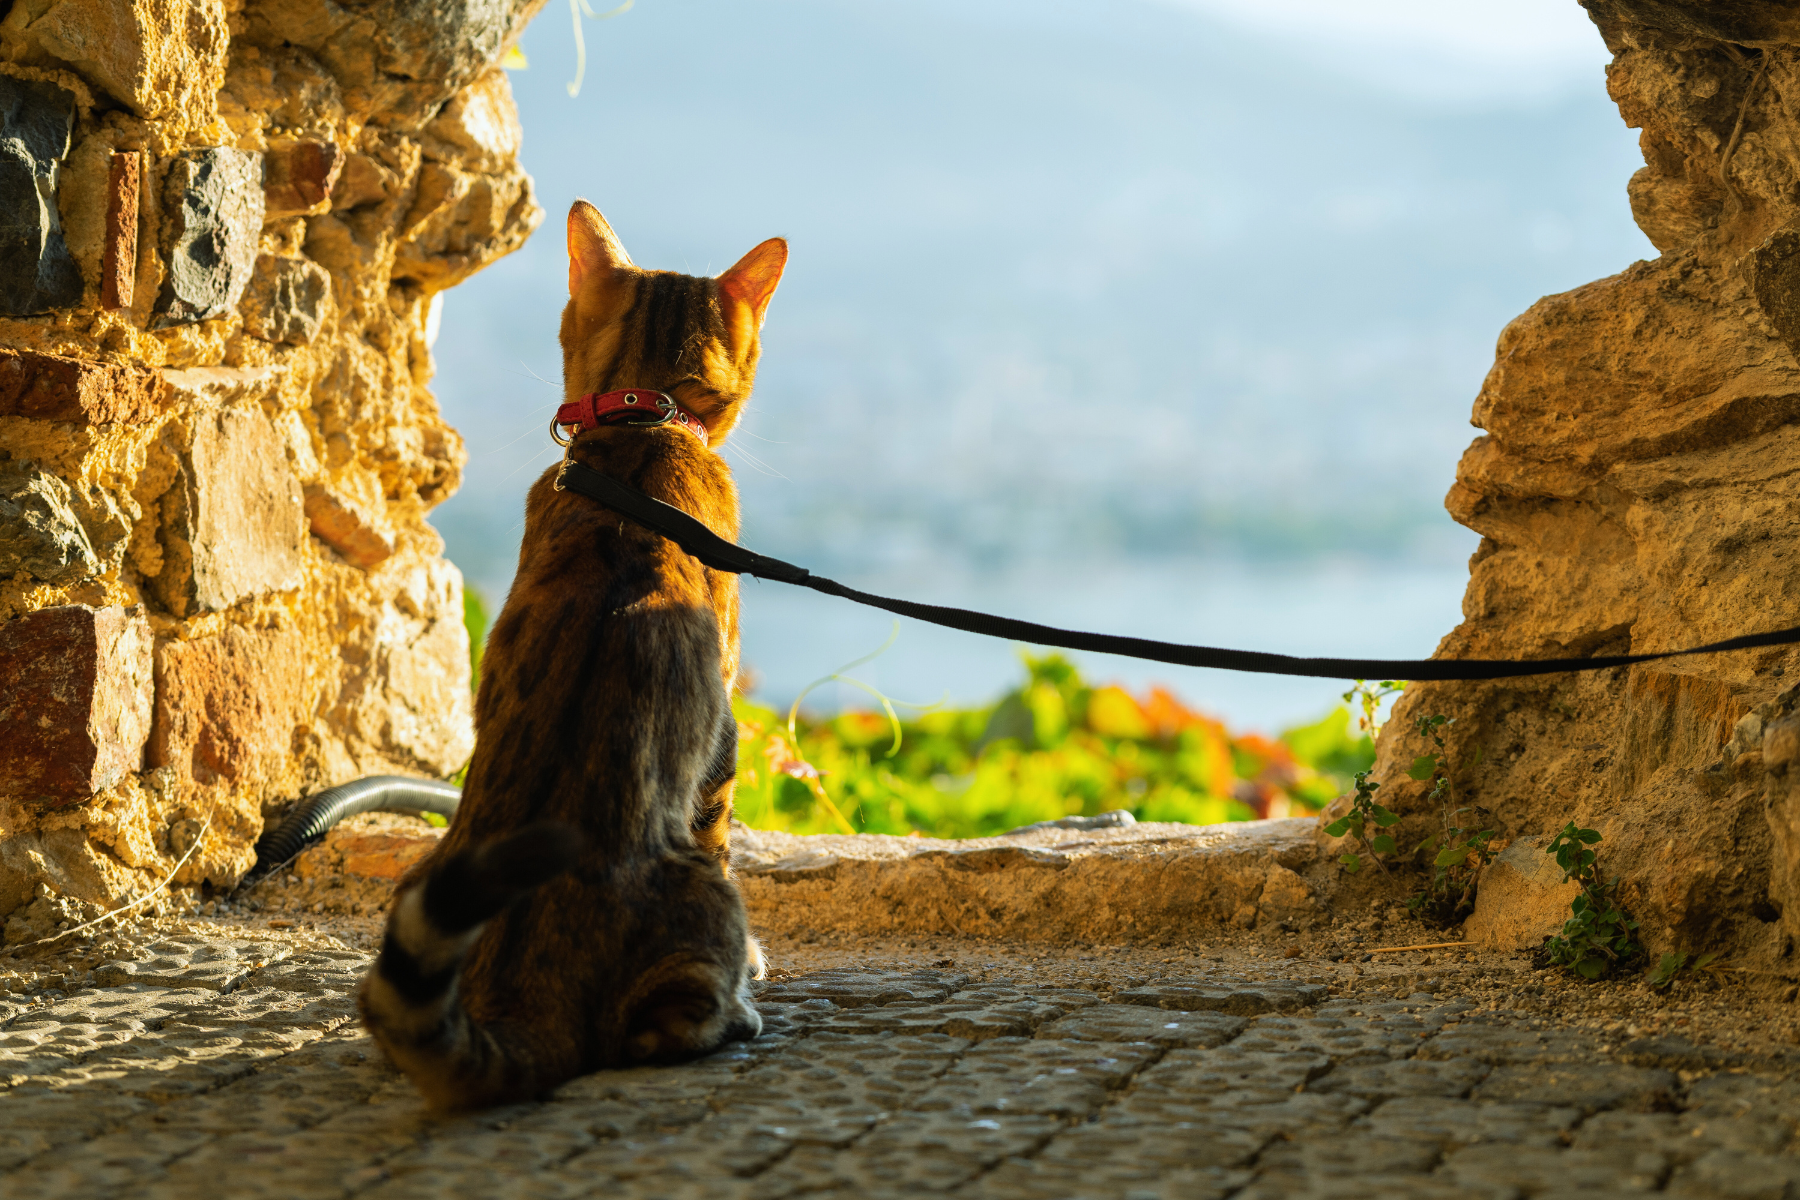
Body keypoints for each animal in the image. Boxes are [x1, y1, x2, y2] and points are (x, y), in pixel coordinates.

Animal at [358, 197, 788, 1108]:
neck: (644, 422)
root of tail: (516, 1001)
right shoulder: (724, 727)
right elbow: (724, 816)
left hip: (427, 879)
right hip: (696, 898)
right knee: (658, 1026)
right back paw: (734, 1013)